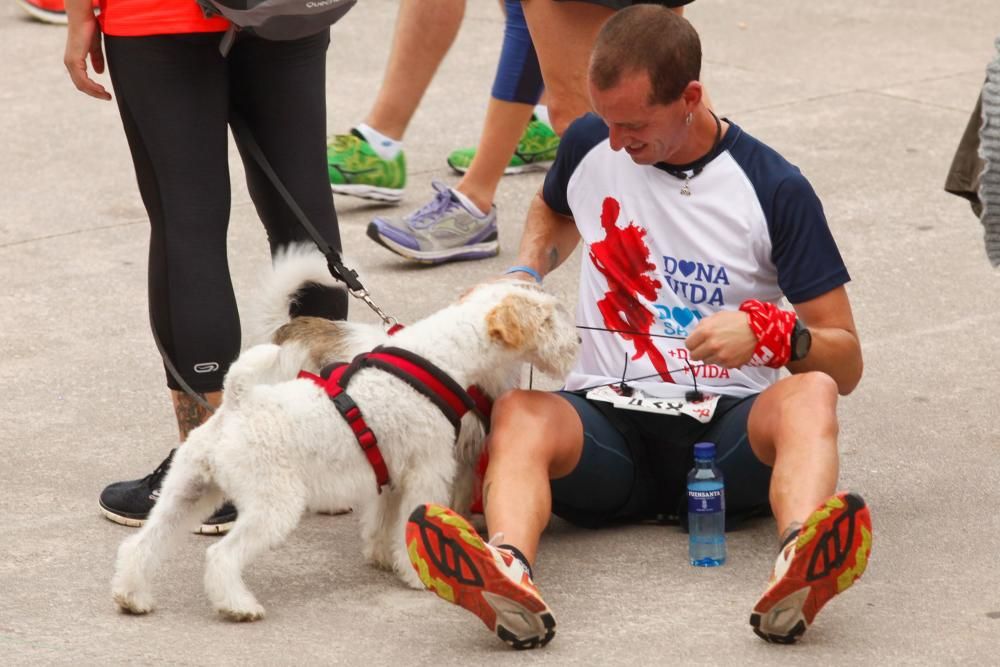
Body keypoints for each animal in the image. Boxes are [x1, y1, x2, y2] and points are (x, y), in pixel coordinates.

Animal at [109, 250, 580, 620]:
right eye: (545, 317)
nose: (576, 340)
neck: (441, 355)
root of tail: (237, 402)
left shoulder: (392, 473)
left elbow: (385, 522)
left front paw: (384, 559)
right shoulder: (427, 472)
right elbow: (407, 523)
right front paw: (415, 574)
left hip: (186, 493)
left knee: (141, 545)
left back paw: (132, 597)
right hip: (271, 506)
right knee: (221, 556)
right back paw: (238, 606)